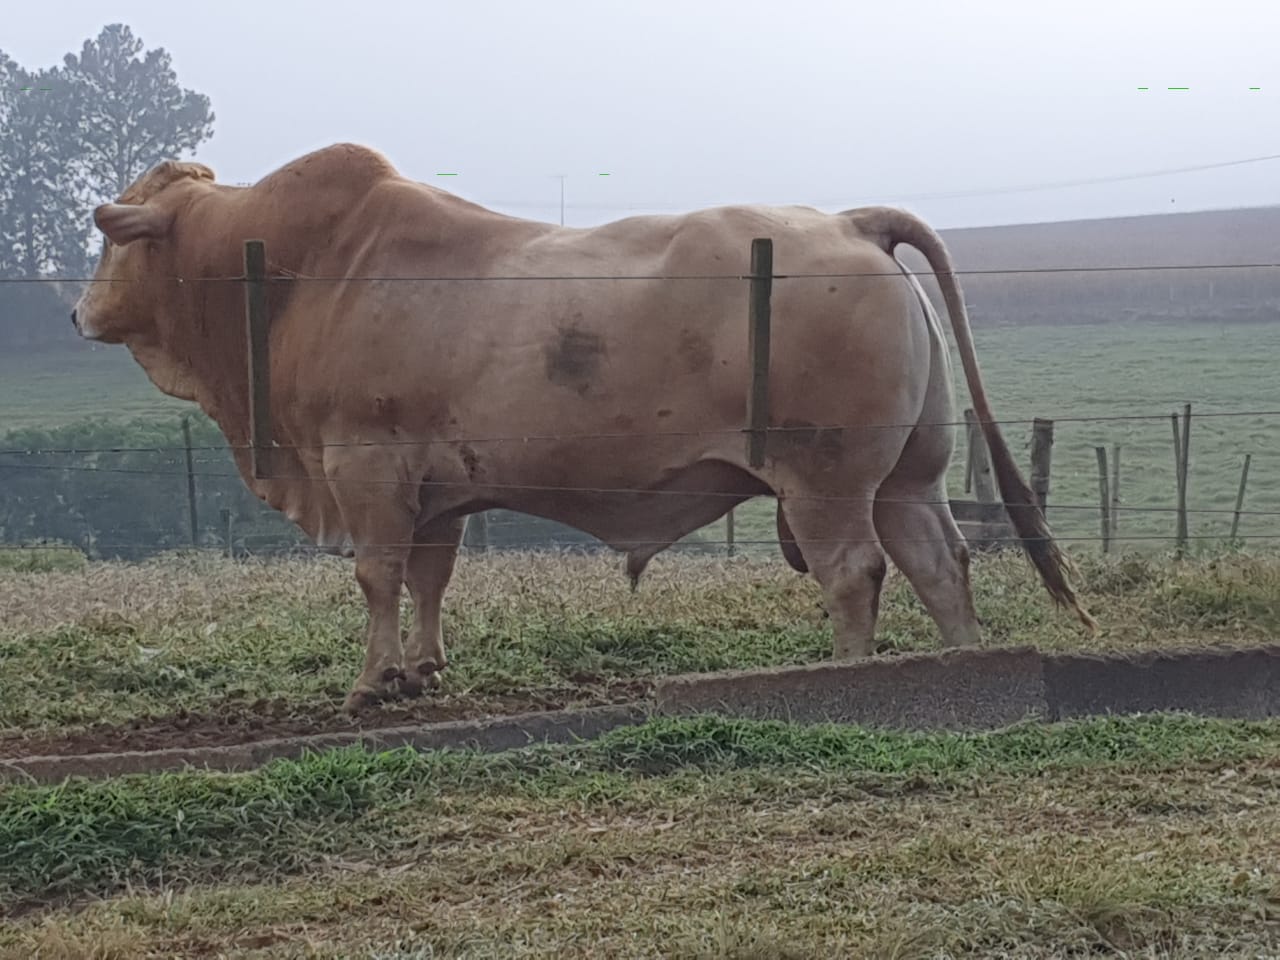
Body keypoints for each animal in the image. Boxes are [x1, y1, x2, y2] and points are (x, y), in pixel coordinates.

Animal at [67, 144, 1090, 716]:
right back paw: (966, 661)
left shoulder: (364, 468)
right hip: (908, 476)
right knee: (938, 564)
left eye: (114, 240)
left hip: (825, 479)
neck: (295, 272)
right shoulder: (436, 491)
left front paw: (369, 682)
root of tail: (847, 220)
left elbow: (377, 578)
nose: (76, 313)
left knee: (856, 573)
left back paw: (850, 676)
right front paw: (422, 671)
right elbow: (429, 579)